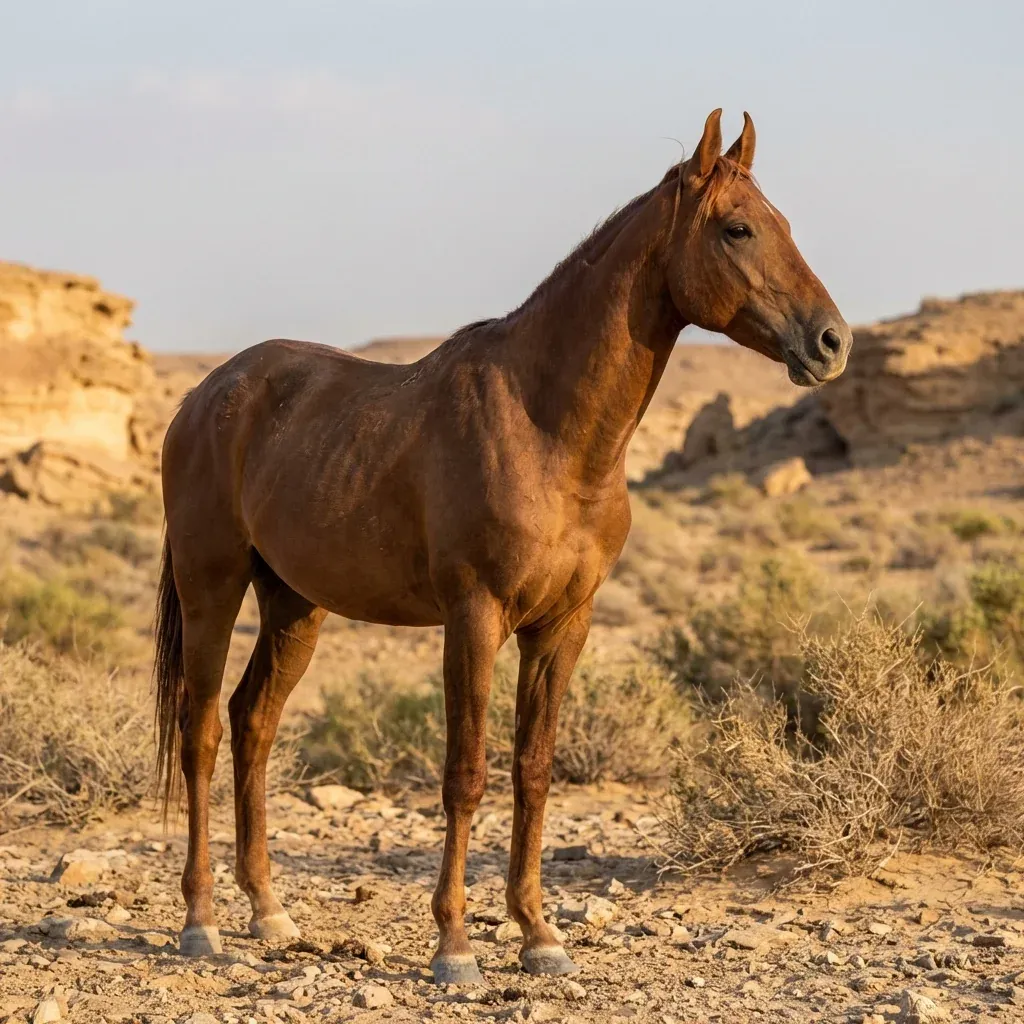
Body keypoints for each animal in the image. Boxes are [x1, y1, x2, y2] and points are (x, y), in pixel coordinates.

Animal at [154, 108, 851, 983]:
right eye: (738, 228)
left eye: (782, 223)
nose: (832, 343)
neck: (545, 425)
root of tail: (205, 395)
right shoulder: (474, 617)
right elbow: (466, 774)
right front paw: (455, 946)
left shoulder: (563, 625)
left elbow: (534, 771)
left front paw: (538, 933)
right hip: (211, 586)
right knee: (202, 731)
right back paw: (200, 920)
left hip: (294, 606)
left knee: (253, 723)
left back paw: (269, 911)